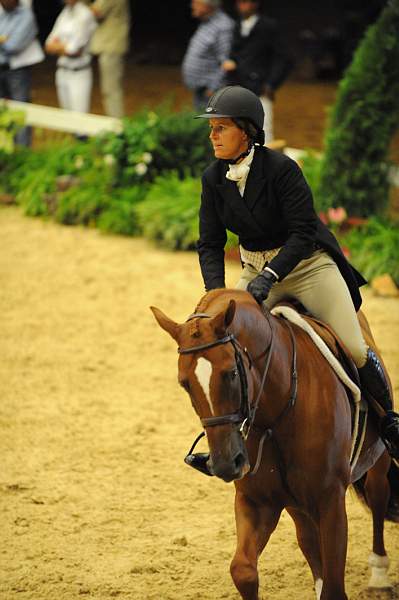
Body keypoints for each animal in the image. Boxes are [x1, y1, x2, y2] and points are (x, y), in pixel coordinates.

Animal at [151, 288, 399, 596]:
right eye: (184, 383)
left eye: (232, 373)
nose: (226, 464)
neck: (276, 410)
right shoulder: (256, 500)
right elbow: (243, 570)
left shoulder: (330, 499)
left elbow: (334, 587)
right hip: (296, 500)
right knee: (307, 535)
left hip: (377, 459)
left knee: (378, 497)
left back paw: (379, 576)